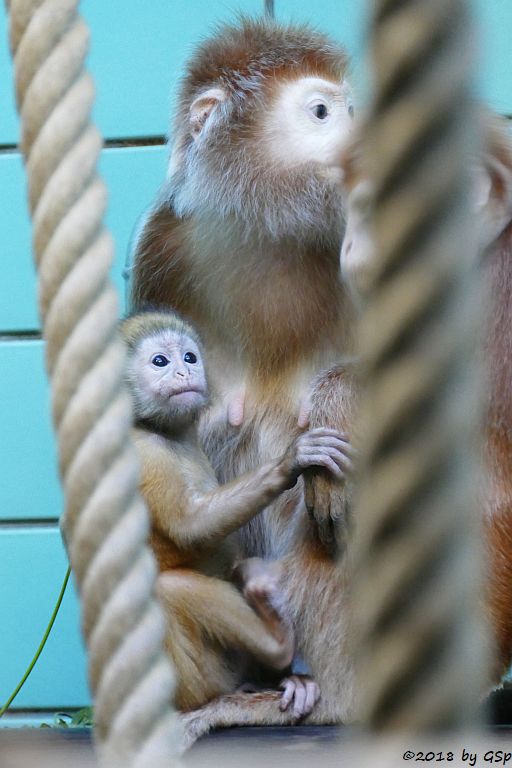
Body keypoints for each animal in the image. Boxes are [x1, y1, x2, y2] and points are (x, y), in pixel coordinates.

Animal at [121, 310, 352, 712]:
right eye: (160, 362)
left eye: (189, 357)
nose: (183, 372)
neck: (164, 432)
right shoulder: (147, 454)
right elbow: (191, 527)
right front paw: (291, 462)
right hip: (197, 681)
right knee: (171, 587)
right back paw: (277, 647)